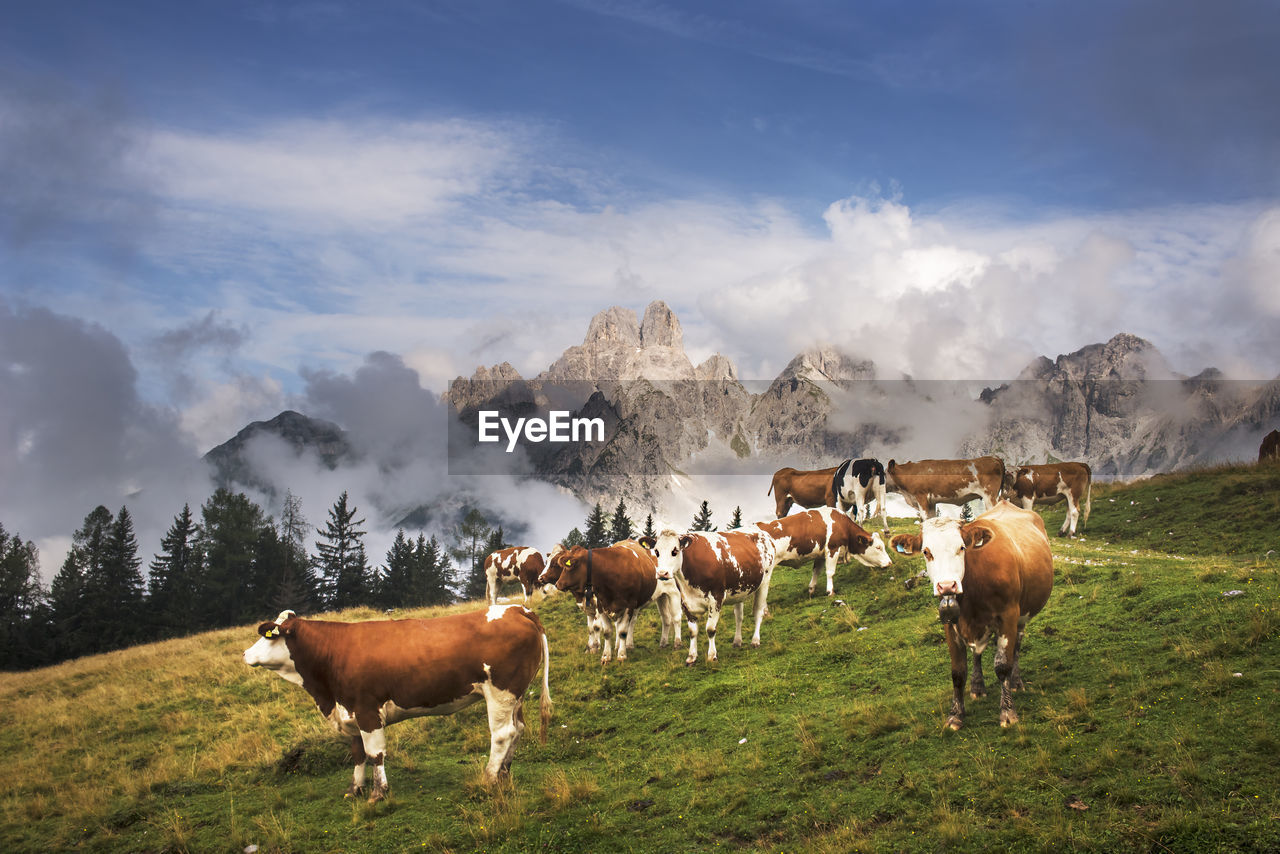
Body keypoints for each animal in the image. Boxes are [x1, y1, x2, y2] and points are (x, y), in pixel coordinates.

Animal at [244, 604, 550, 798]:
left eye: (268, 635)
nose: (246, 654)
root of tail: (519, 609)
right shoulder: (351, 712)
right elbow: (357, 753)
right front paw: (354, 790)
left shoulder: (367, 710)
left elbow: (374, 753)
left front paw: (378, 793)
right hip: (516, 695)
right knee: (518, 730)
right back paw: (504, 773)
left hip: (500, 692)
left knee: (502, 734)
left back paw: (488, 777)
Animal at [537, 540, 680, 665]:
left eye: (556, 564)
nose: (541, 578)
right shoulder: (598, 606)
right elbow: (598, 630)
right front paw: (600, 653)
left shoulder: (626, 605)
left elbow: (612, 629)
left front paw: (616, 654)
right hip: (660, 597)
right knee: (664, 619)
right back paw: (658, 643)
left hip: (673, 593)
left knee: (675, 618)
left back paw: (677, 643)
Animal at [640, 527, 778, 665]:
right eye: (656, 552)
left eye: (675, 551)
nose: (662, 573)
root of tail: (762, 532)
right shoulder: (685, 602)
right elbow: (692, 631)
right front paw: (691, 657)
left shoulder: (716, 598)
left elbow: (710, 629)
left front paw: (712, 656)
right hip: (739, 590)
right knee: (739, 617)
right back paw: (737, 641)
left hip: (765, 581)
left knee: (758, 612)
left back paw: (755, 641)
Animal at [747, 507, 890, 594]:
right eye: (878, 547)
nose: (890, 563)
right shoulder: (832, 548)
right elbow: (830, 572)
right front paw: (830, 591)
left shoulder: (820, 555)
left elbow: (816, 571)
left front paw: (811, 589)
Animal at [890, 504, 1049, 732]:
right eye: (926, 552)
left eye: (962, 548)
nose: (947, 586)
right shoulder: (950, 623)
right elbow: (958, 671)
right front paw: (955, 715)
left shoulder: (1008, 615)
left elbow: (1003, 665)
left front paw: (1008, 713)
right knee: (977, 652)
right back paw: (977, 687)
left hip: (1022, 616)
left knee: (1016, 648)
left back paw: (1016, 682)